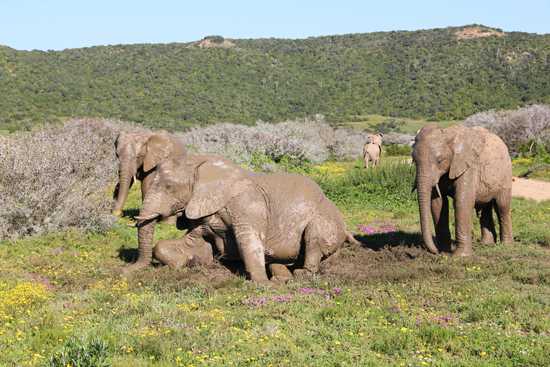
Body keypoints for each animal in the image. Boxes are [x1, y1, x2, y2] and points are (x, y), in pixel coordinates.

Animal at [126, 154, 358, 284]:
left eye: (169, 187)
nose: (125, 271)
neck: (202, 163)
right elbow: (191, 243)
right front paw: (186, 263)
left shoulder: (247, 204)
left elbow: (249, 241)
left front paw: (264, 285)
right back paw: (282, 276)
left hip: (326, 221)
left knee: (313, 240)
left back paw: (298, 275)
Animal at [416, 125, 516, 258]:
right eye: (413, 160)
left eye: (439, 160)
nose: (435, 252)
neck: (449, 135)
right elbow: (438, 203)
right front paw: (444, 251)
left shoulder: (469, 166)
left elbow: (462, 201)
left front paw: (459, 256)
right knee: (486, 208)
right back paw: (486, 244)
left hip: (505, 174)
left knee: (502, 206)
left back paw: (506, 245)